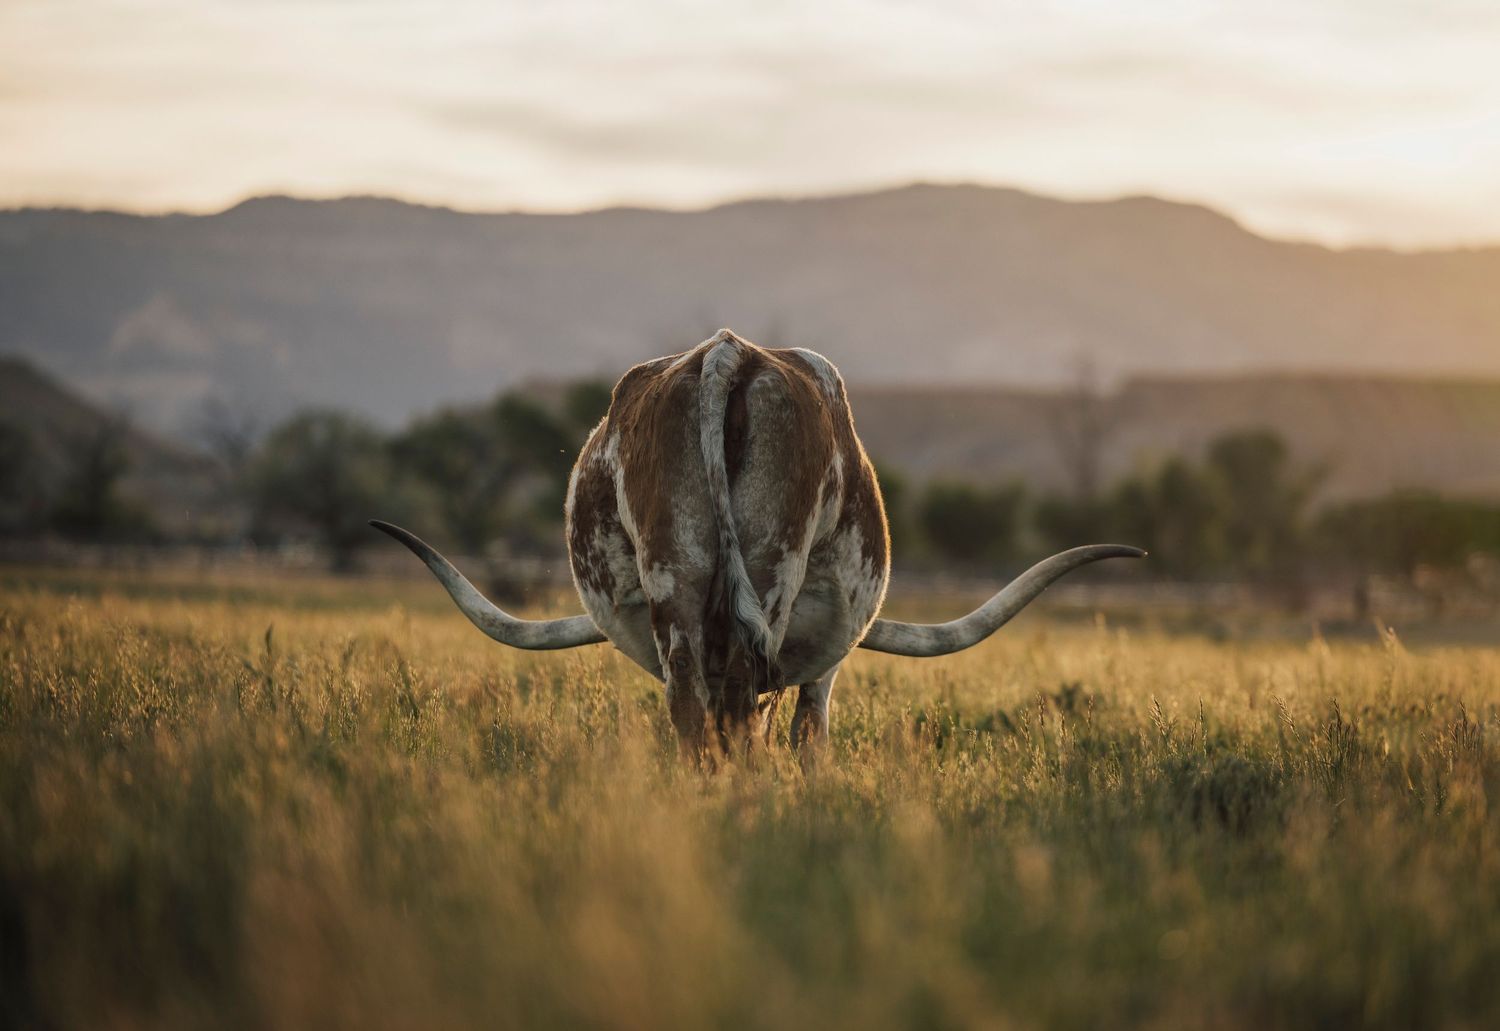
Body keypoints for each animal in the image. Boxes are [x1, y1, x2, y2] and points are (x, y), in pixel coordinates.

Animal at [372, 330, 1143, 758]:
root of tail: (727, 355)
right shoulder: (825, 657)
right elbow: (809, 730)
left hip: (673, 577)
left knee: (694, 708)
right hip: (773, 570)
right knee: (742, 703)